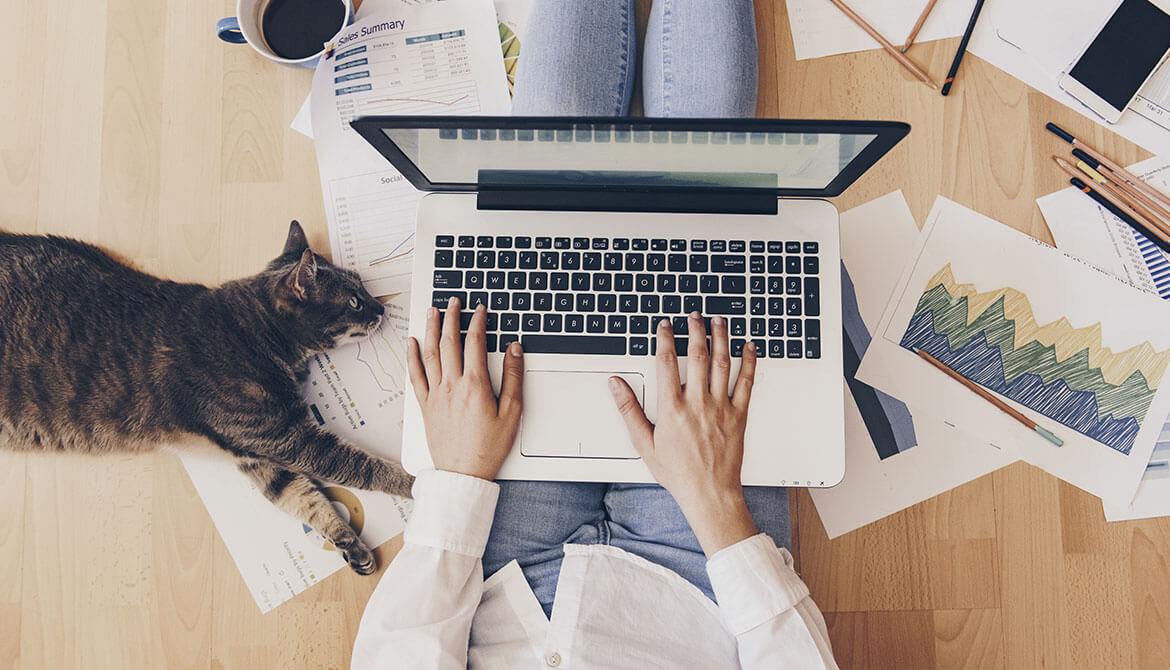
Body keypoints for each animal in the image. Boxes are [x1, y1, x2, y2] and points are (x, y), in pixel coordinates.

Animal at [0, 222, 414, 572]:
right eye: (354, 301)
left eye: (363, 288)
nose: (380, 307)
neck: (254, 332)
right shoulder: (289, 439)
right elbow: (363, 467)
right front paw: (414, 485)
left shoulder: (258, 453)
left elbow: (303, 499)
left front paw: (348, 542)